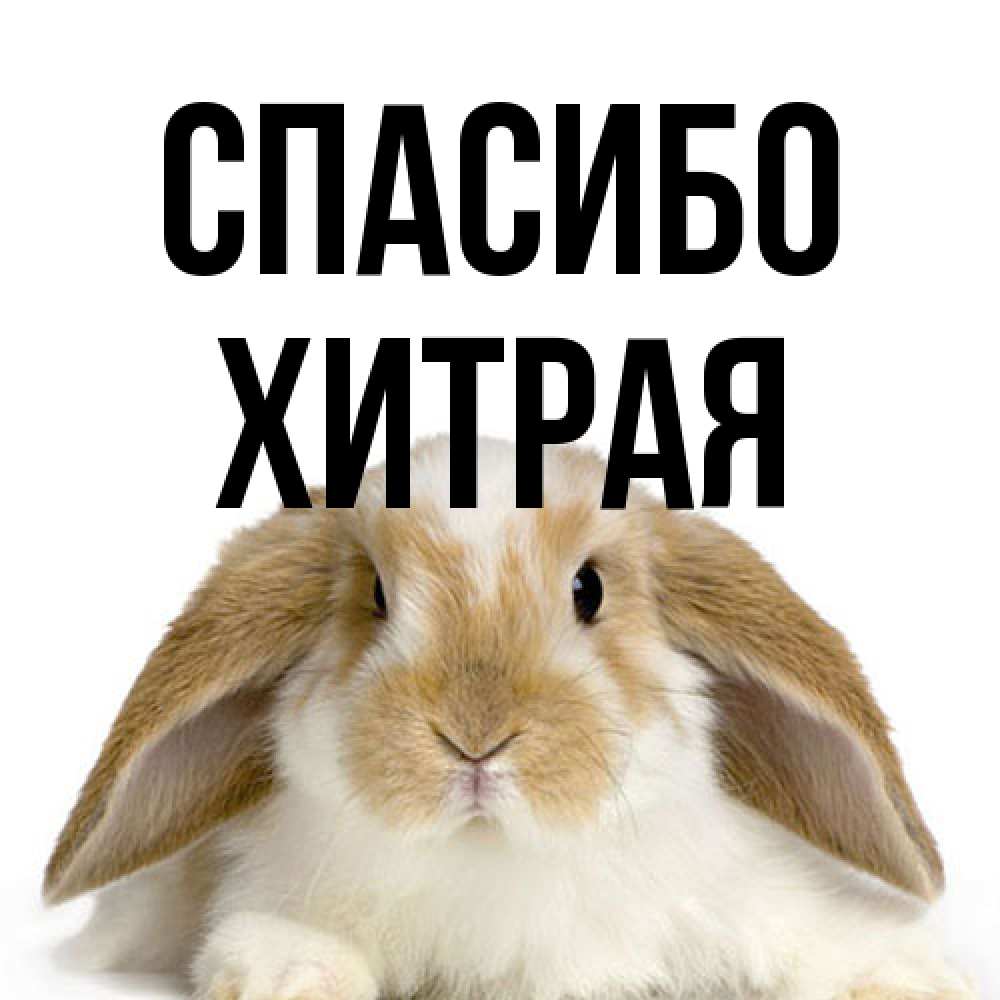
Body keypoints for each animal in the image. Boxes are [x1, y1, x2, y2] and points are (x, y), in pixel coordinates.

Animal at [45, 437, 975, 1000]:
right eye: (376, 595)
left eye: (589, 589)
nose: (475, 737)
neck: (495, 857)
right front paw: (290, 976)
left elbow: (816, 938)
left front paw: (909, 977)